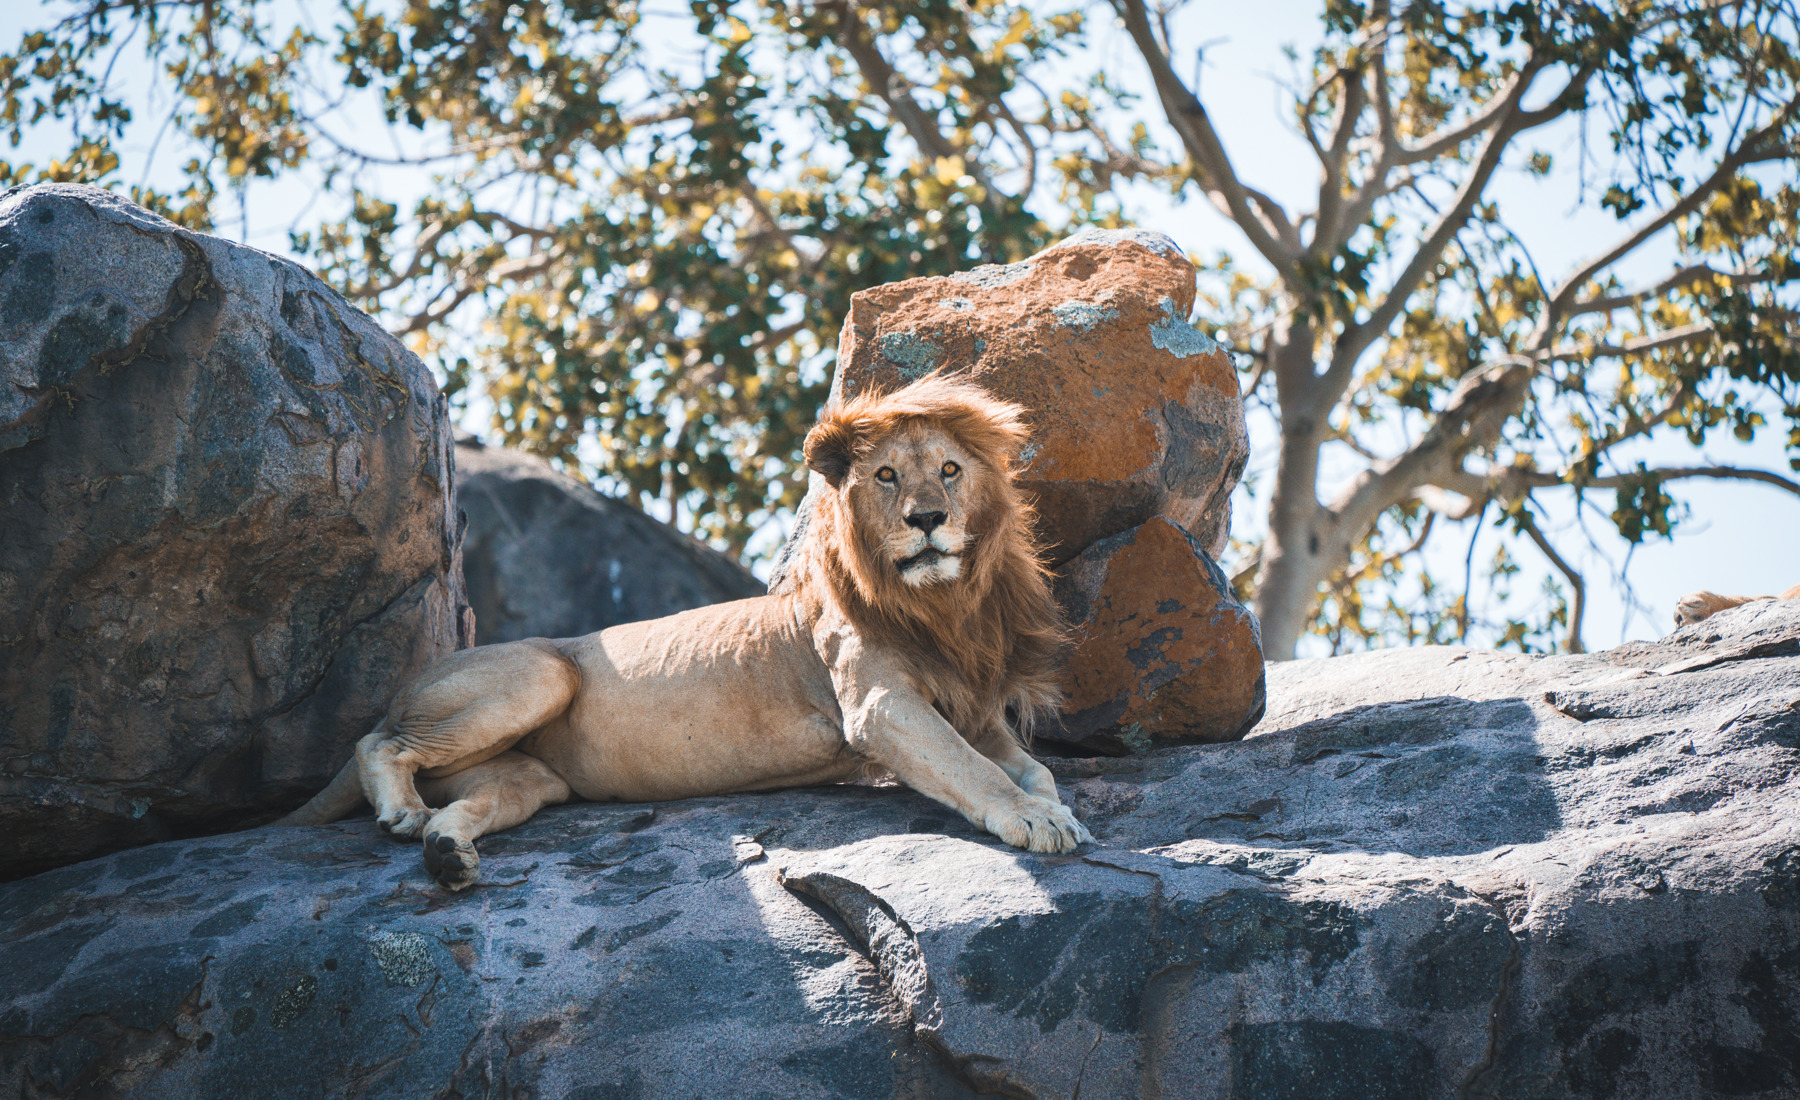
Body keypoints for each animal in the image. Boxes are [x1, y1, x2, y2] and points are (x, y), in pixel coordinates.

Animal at [277, 374, 1092, 889]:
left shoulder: (973, 710)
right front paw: (1035, 821)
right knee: (377, 742)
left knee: (471, 796)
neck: (943, 605)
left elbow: (1032, 769)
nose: (928, 519)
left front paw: (1055, 808)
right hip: (543, 674)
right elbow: (973, 770)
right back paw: (402, 812)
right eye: (887, 476)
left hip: (532, 777)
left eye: (950, 469)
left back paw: (446, 852)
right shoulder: (879, 707)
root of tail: (404, 690)